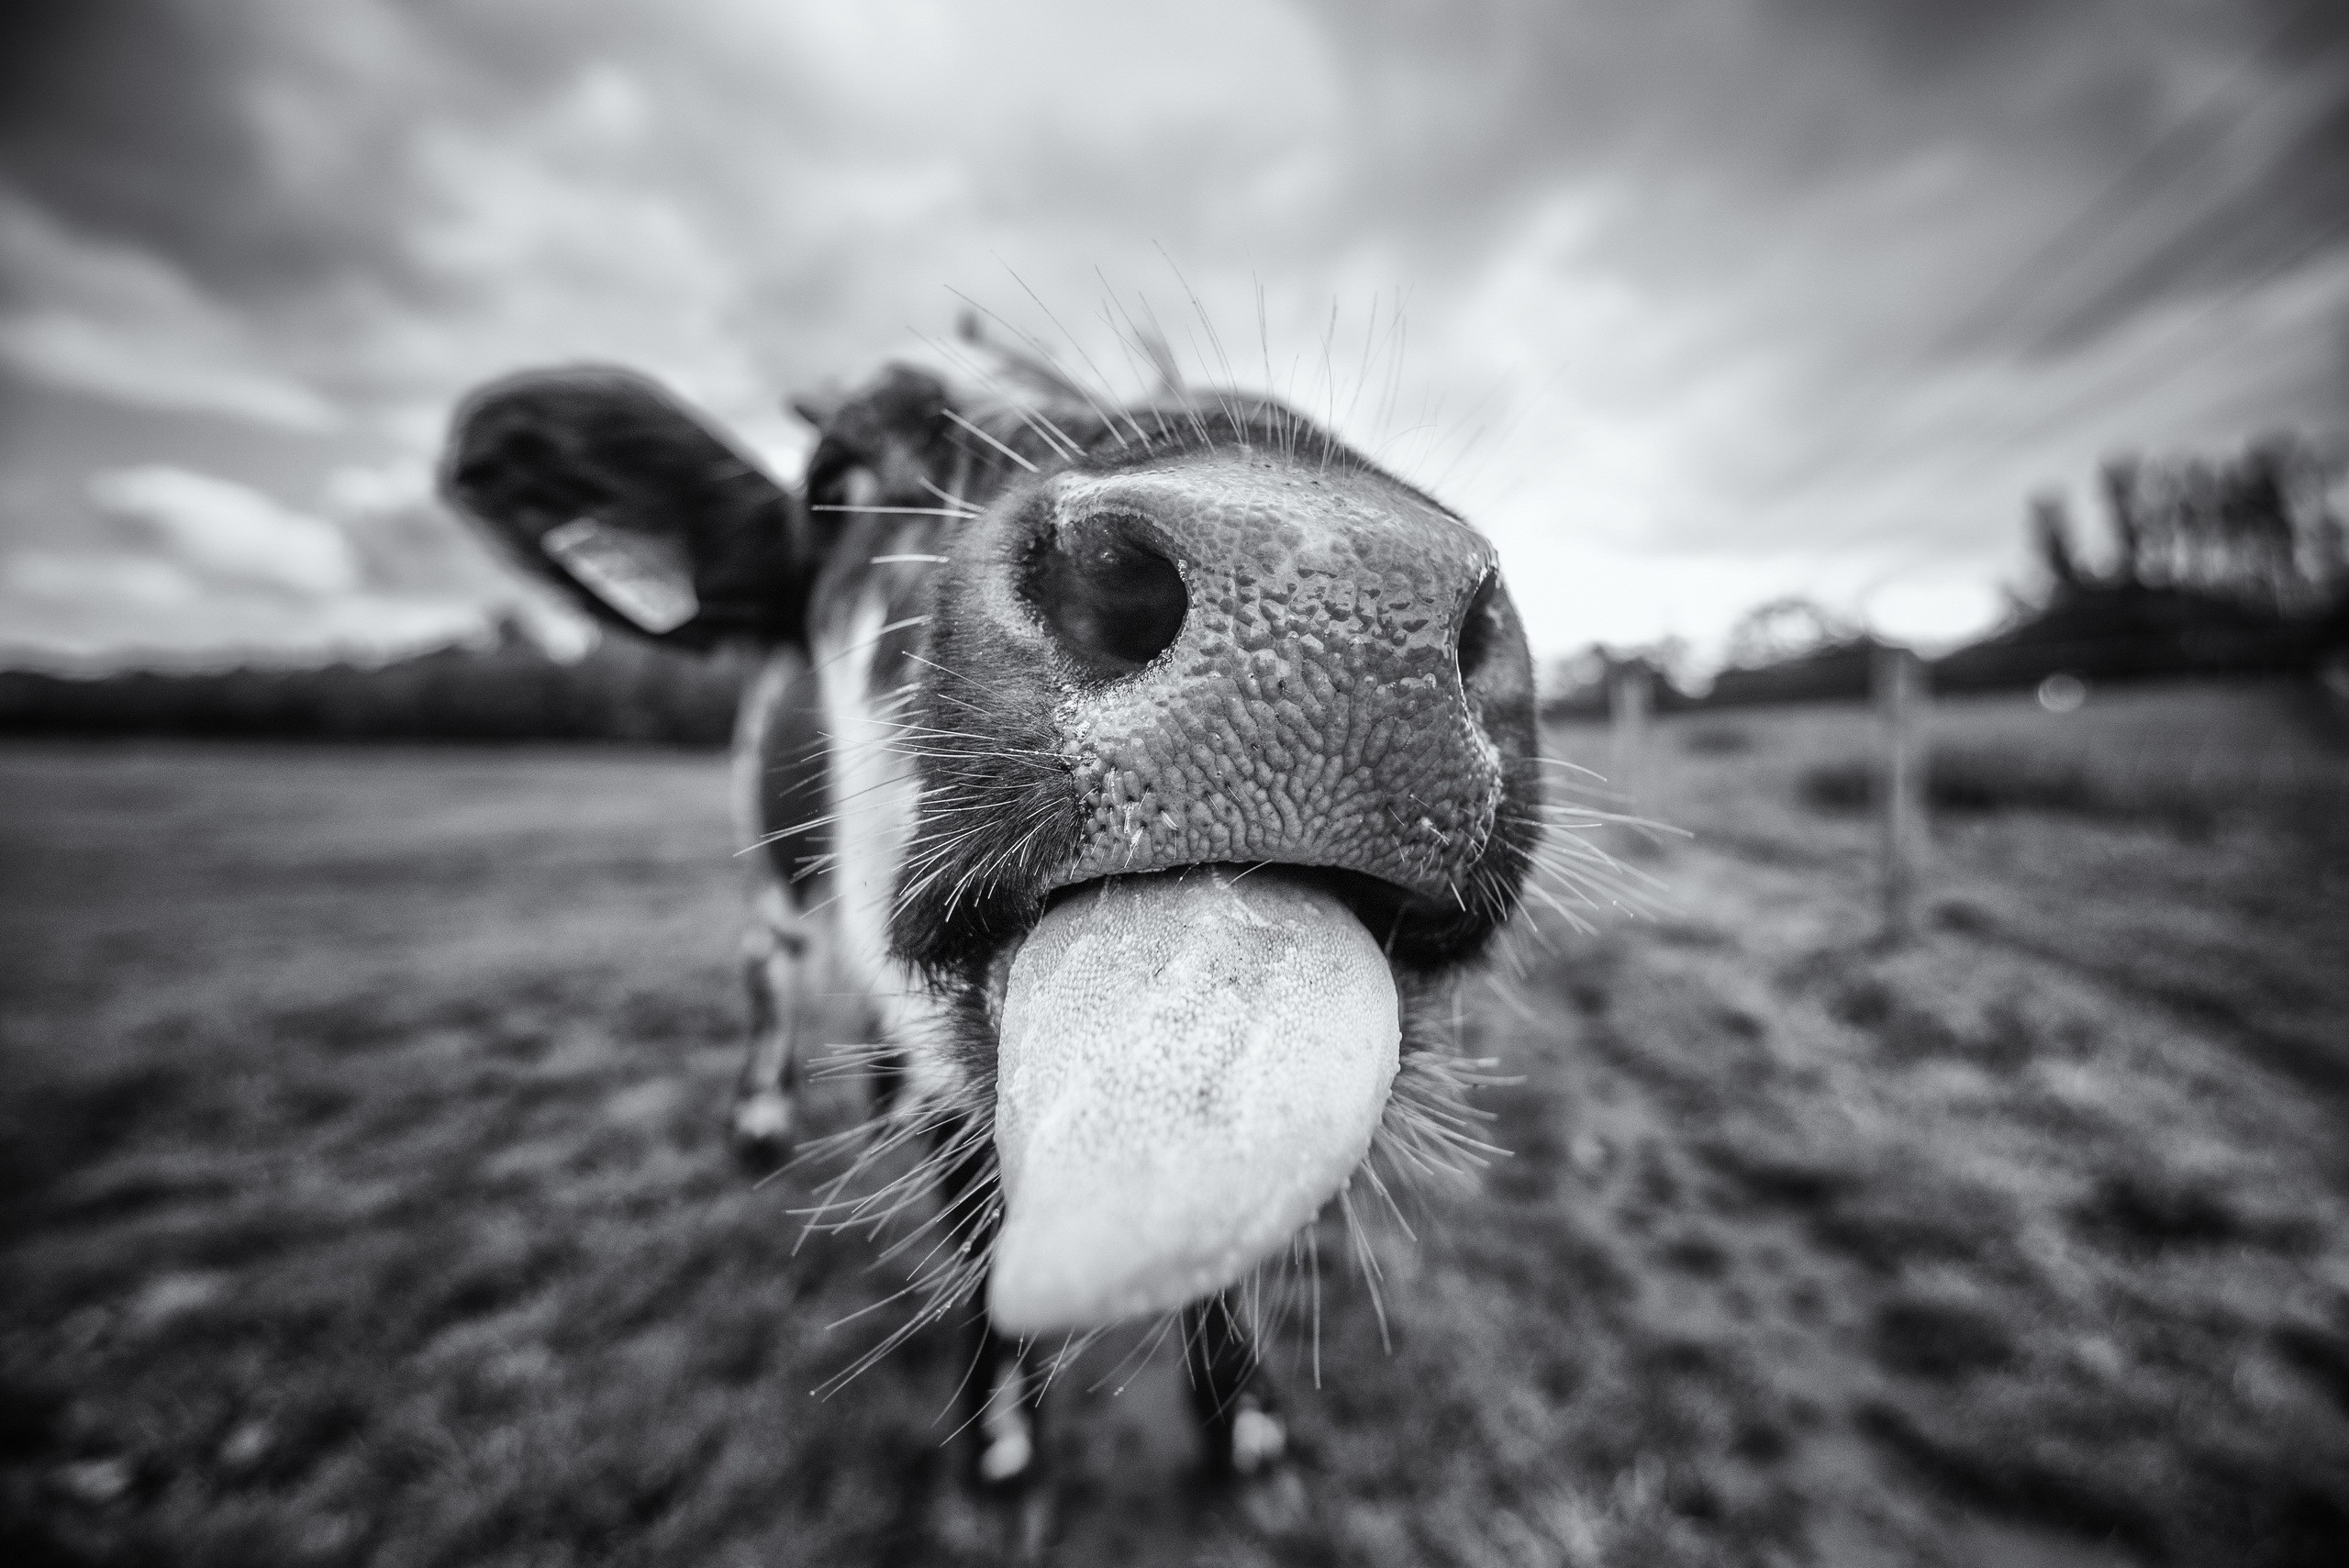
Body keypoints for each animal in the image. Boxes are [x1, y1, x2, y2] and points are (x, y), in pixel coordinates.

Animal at [439, 330, 1541, 1540]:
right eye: (837, 476)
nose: (1328, 580)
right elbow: (977, 1217)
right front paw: (1006, 1445)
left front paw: (1245, 1425)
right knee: (770, 961)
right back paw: (764, 1113)